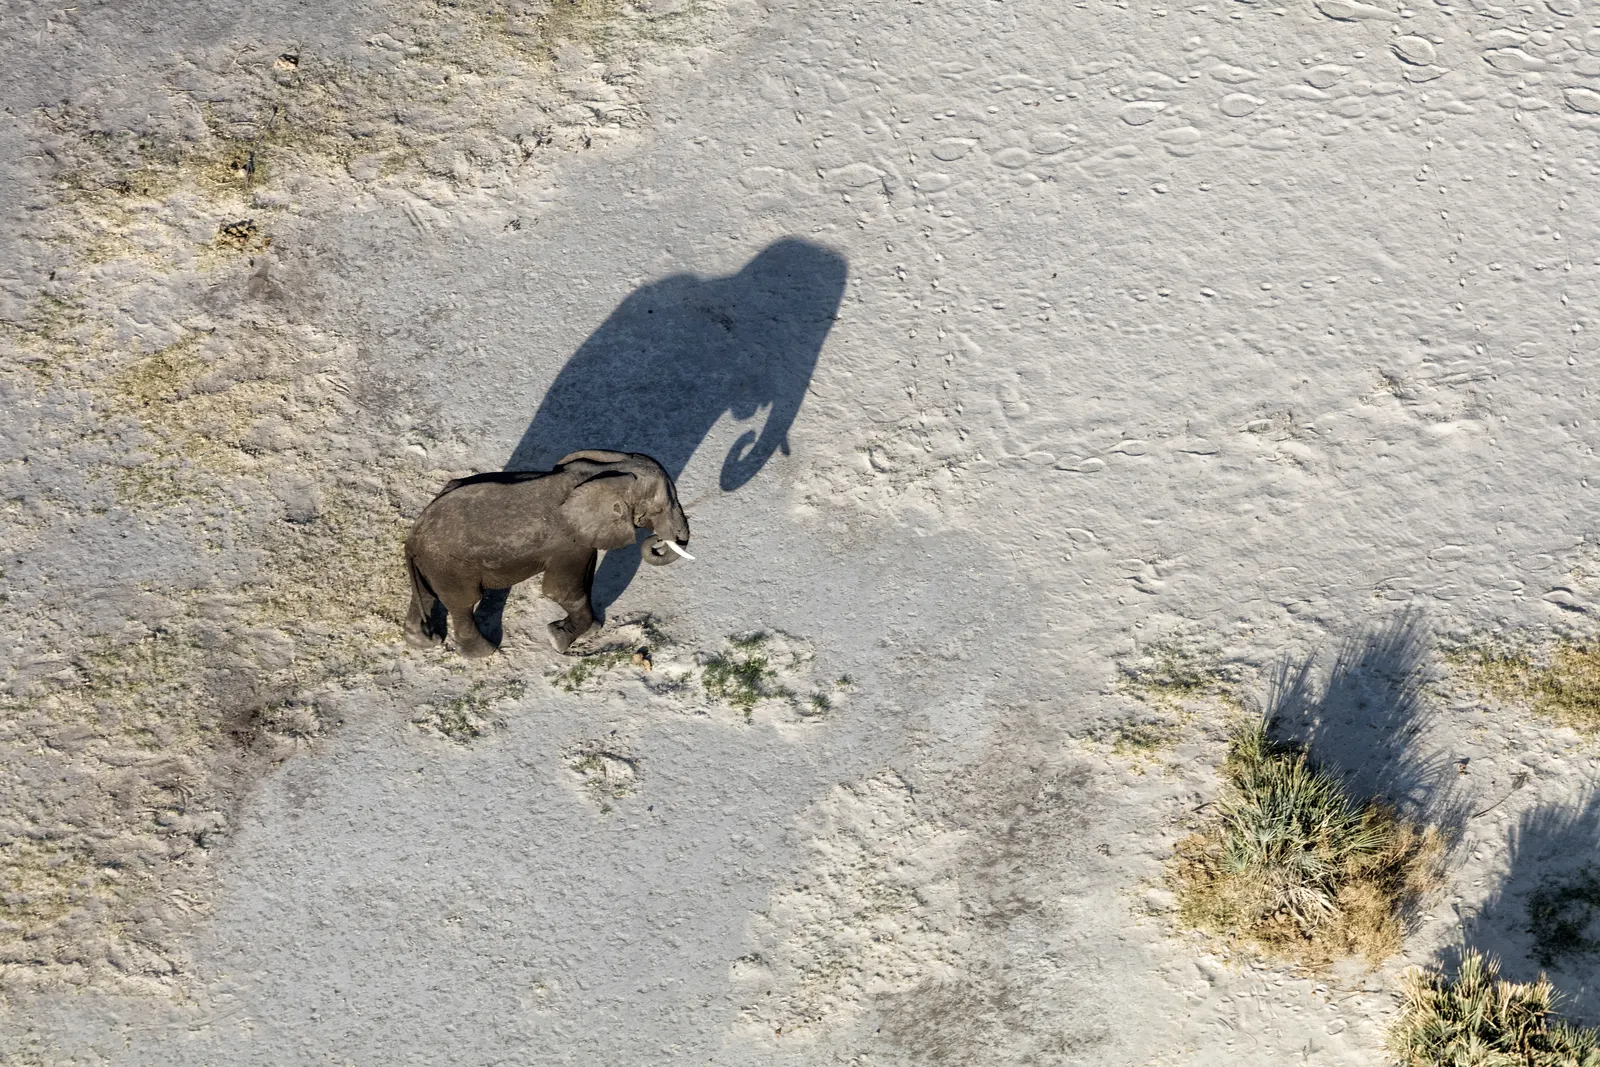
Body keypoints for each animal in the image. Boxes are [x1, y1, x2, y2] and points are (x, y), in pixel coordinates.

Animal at [403, 450, 690, 657]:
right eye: (660, 508)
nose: (657, 541)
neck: (605, 472)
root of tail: (413, 536)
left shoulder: (582, 541)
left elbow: (584, 581)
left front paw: (589, 631)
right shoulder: (568, 542)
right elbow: (560, 591)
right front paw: (558, 640)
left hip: (432, 565)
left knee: (427, 594)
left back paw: (424, 641)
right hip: (450, 566)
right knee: (463, 602)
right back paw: (485, 652)